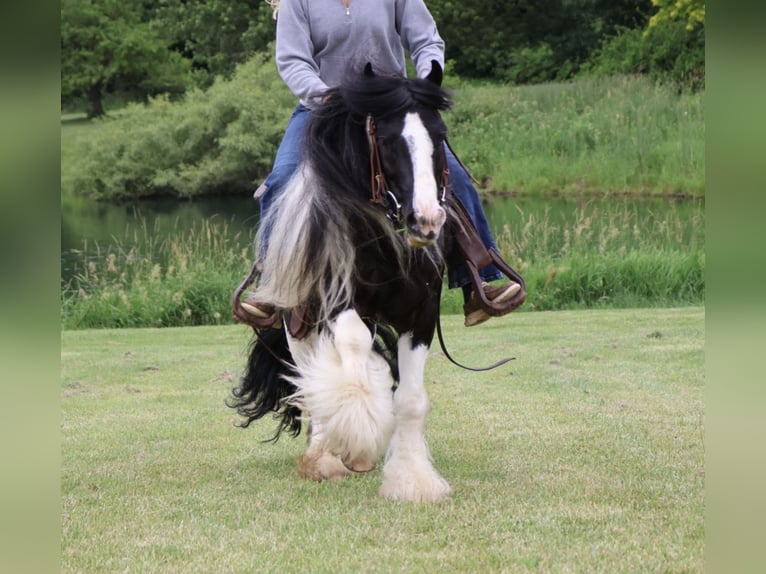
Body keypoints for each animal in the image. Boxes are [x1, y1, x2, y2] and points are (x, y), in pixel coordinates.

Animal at [230, 62, 469, 503]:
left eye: (440, 135)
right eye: (388, 140)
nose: (426, 221)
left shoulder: (422, 312)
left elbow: (410, 399)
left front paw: (412, 479)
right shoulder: (337, 303)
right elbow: (352, 352)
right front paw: (354, 439)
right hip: (297, 323)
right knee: (310, 375)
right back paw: (323, 455)